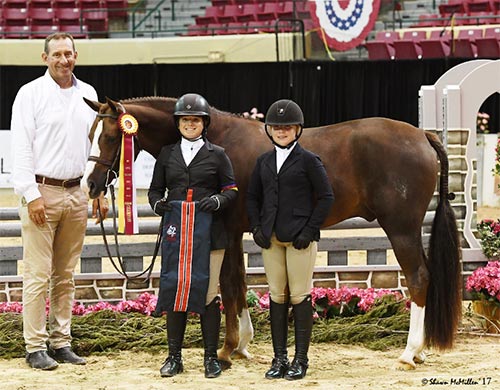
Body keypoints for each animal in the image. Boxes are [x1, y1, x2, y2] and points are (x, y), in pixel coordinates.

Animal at [82, 96, 460, 370]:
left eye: (112, 137)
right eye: (90, 135)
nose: (90, 185)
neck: (213, 140)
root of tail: (422, 136)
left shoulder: (226, 227)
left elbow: (229, 284)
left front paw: (228, 349)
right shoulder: (235, 232)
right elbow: (238, 283)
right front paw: (241, 345)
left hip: (401, 228)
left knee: (418, 277)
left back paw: (409, 353)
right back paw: (420, 351)